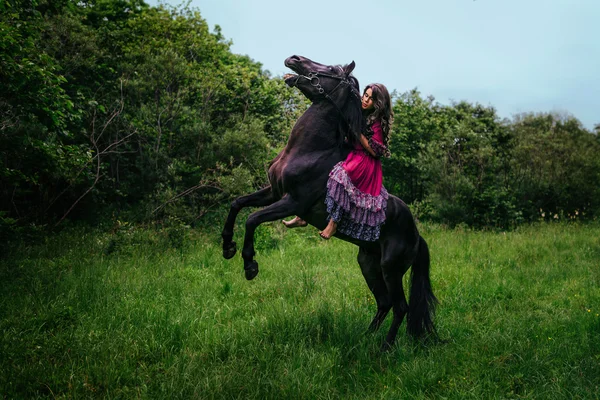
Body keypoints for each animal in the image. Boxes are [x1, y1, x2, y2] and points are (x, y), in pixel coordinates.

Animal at [220, 54, 436, 348]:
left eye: (332, 69)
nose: (294, 58)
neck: (309, 150)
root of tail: (416, 234)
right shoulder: (273, 192)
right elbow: (237, 204)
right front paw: (227, 247)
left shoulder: (292, 202)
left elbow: (252, 219)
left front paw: (250, 265)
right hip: (368, 263)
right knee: (384, 303)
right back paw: (364, 339)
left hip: (391, 269)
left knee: (400, 306)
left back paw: (384, 348)